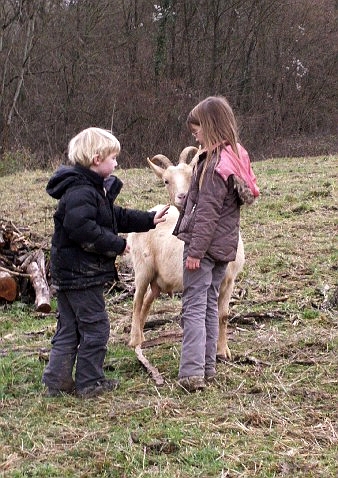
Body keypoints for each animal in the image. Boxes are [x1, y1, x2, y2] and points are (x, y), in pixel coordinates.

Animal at [128, 146, 244, 358]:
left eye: (191, 175)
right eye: (166, 180)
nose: (182, 196)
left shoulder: (229, 280)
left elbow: (222, 315)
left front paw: (223, 351)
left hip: (158, 278)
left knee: (147, 300)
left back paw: (142, 336)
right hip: (143, 268)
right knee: (137, 300)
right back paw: (134, 340)